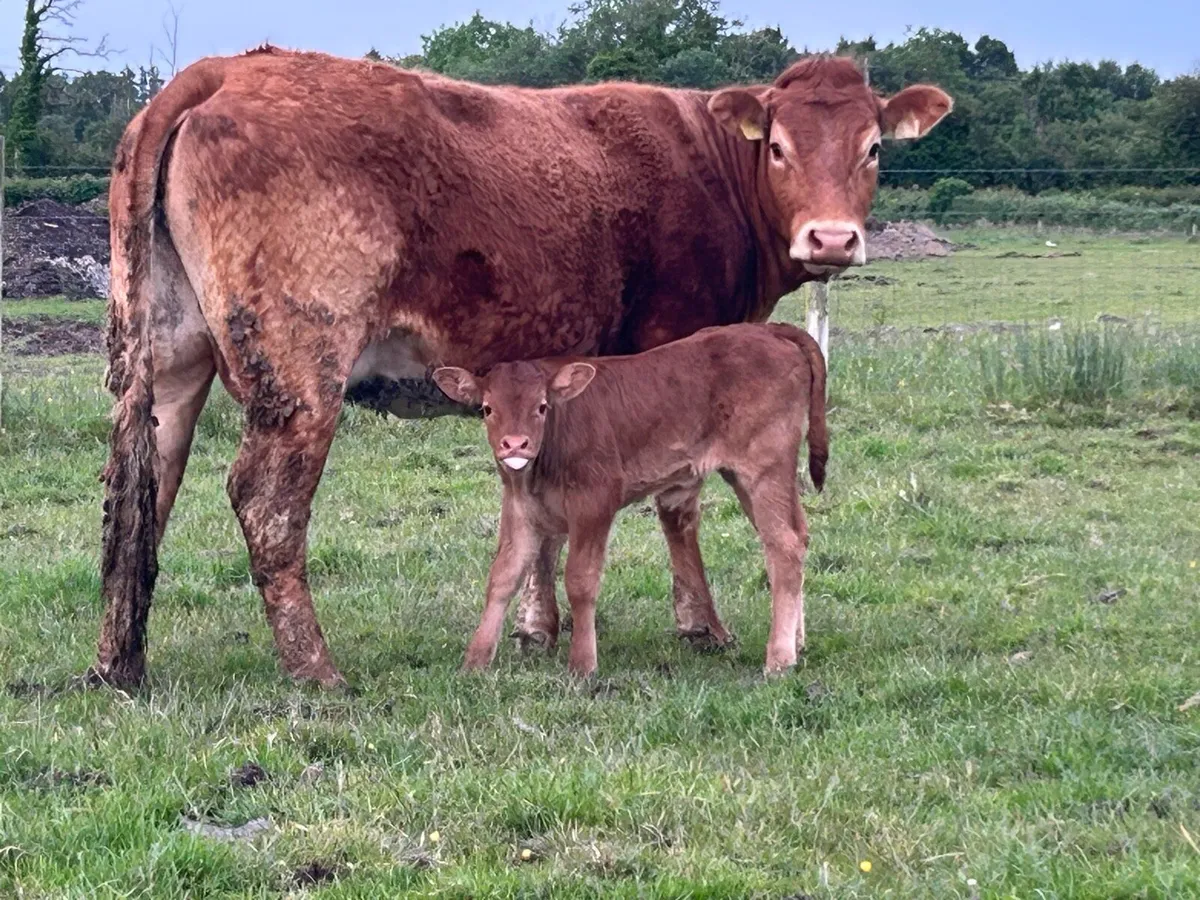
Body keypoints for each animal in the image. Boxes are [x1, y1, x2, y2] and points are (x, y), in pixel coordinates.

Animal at [433, 323, 829, 676]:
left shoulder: (595, 501)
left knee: (784, 545)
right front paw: (474, 662)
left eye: (542, 406)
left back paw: (779, 659)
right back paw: (797, 643)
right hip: (750, 478)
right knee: (796, 535)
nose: (515, 444)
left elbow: (580, 580)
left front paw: (583, 666)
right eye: (486, 408)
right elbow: (503, 576)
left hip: (764, 467)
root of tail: (767, 329)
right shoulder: (520, 509)